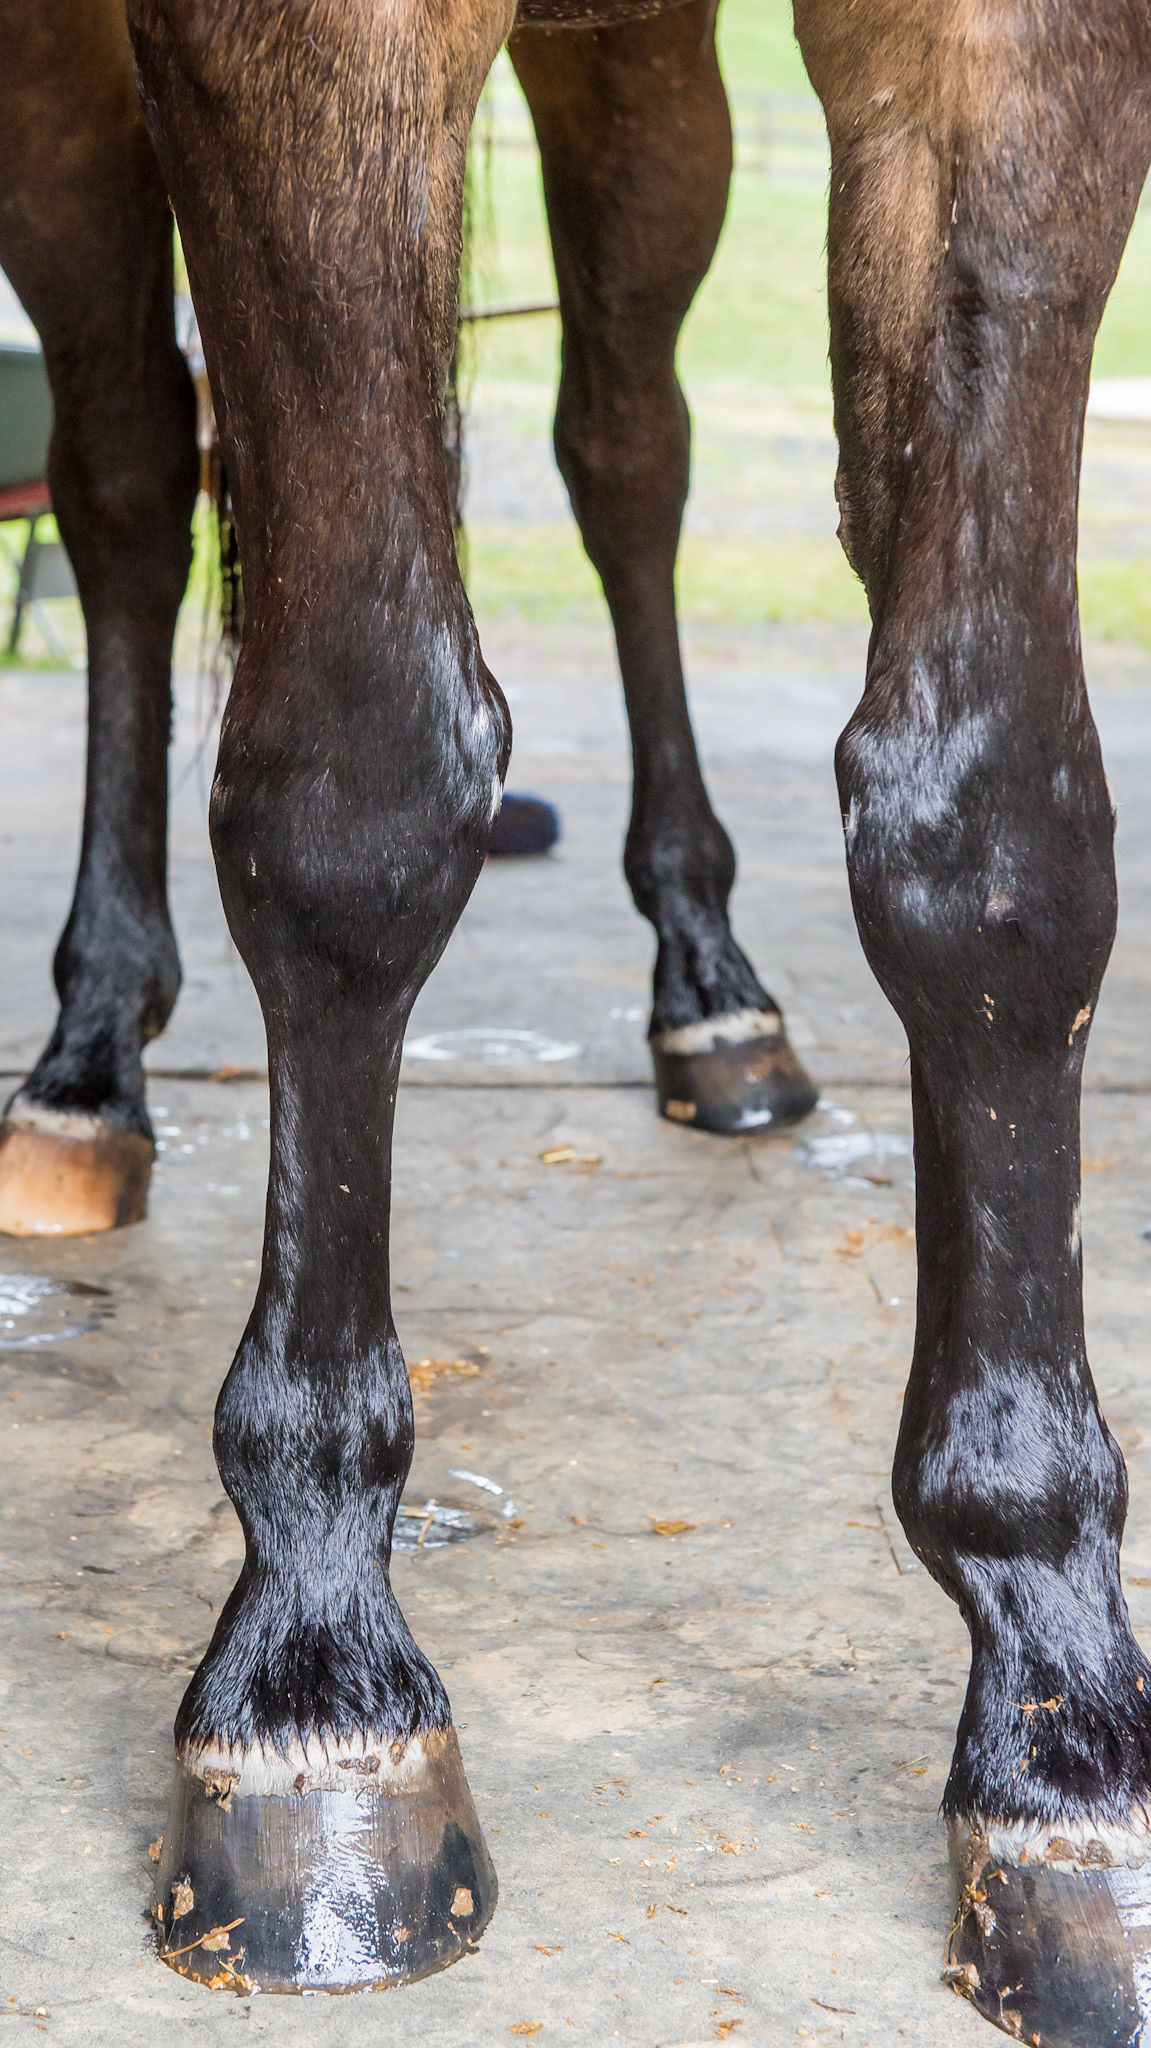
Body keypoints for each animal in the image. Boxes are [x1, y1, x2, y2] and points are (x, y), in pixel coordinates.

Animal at [2, 0, 1150, 2037]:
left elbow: (993, 828)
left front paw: (1061, 1702)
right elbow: (359, 783)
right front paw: (316, 1663)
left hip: (638, 84)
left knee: (625, 447)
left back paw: (715, 996)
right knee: (127, 475)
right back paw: (85, 1067)